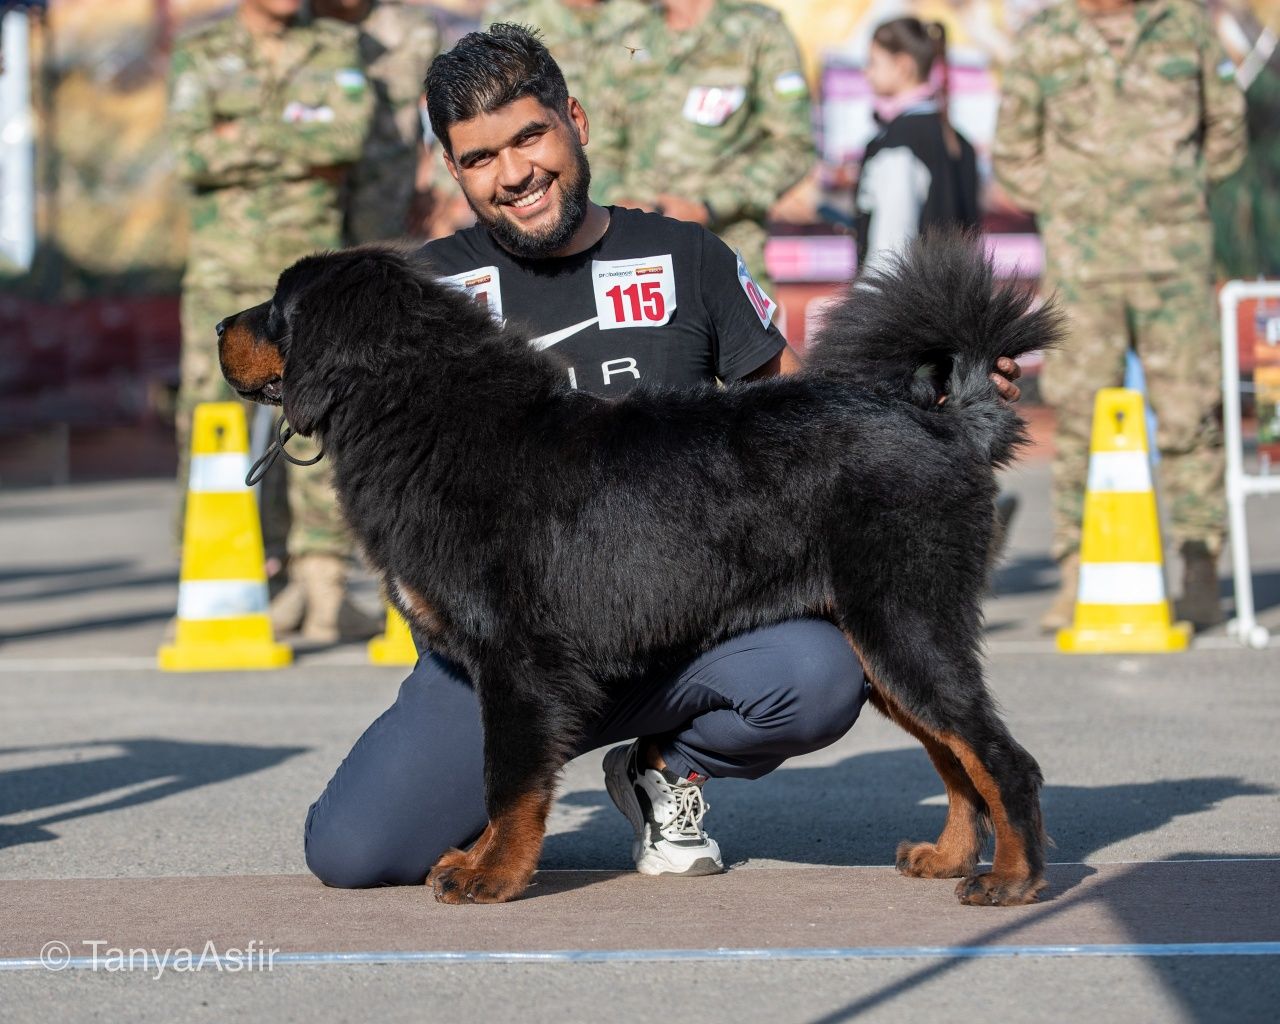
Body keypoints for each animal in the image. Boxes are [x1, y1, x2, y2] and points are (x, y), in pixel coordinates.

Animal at [220, 231, 1059, 906]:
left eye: (280, 311)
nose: (223, 325)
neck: (417, 412)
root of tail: (947, 421)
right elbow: (505, 785)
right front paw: (478, 860)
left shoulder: (517, 665)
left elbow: (509, 783)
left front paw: (494, 876)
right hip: (882, 648)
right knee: (956, 759)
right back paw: (951, 858)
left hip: (904, 626)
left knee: (1000, 758)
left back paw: (1013, 879)